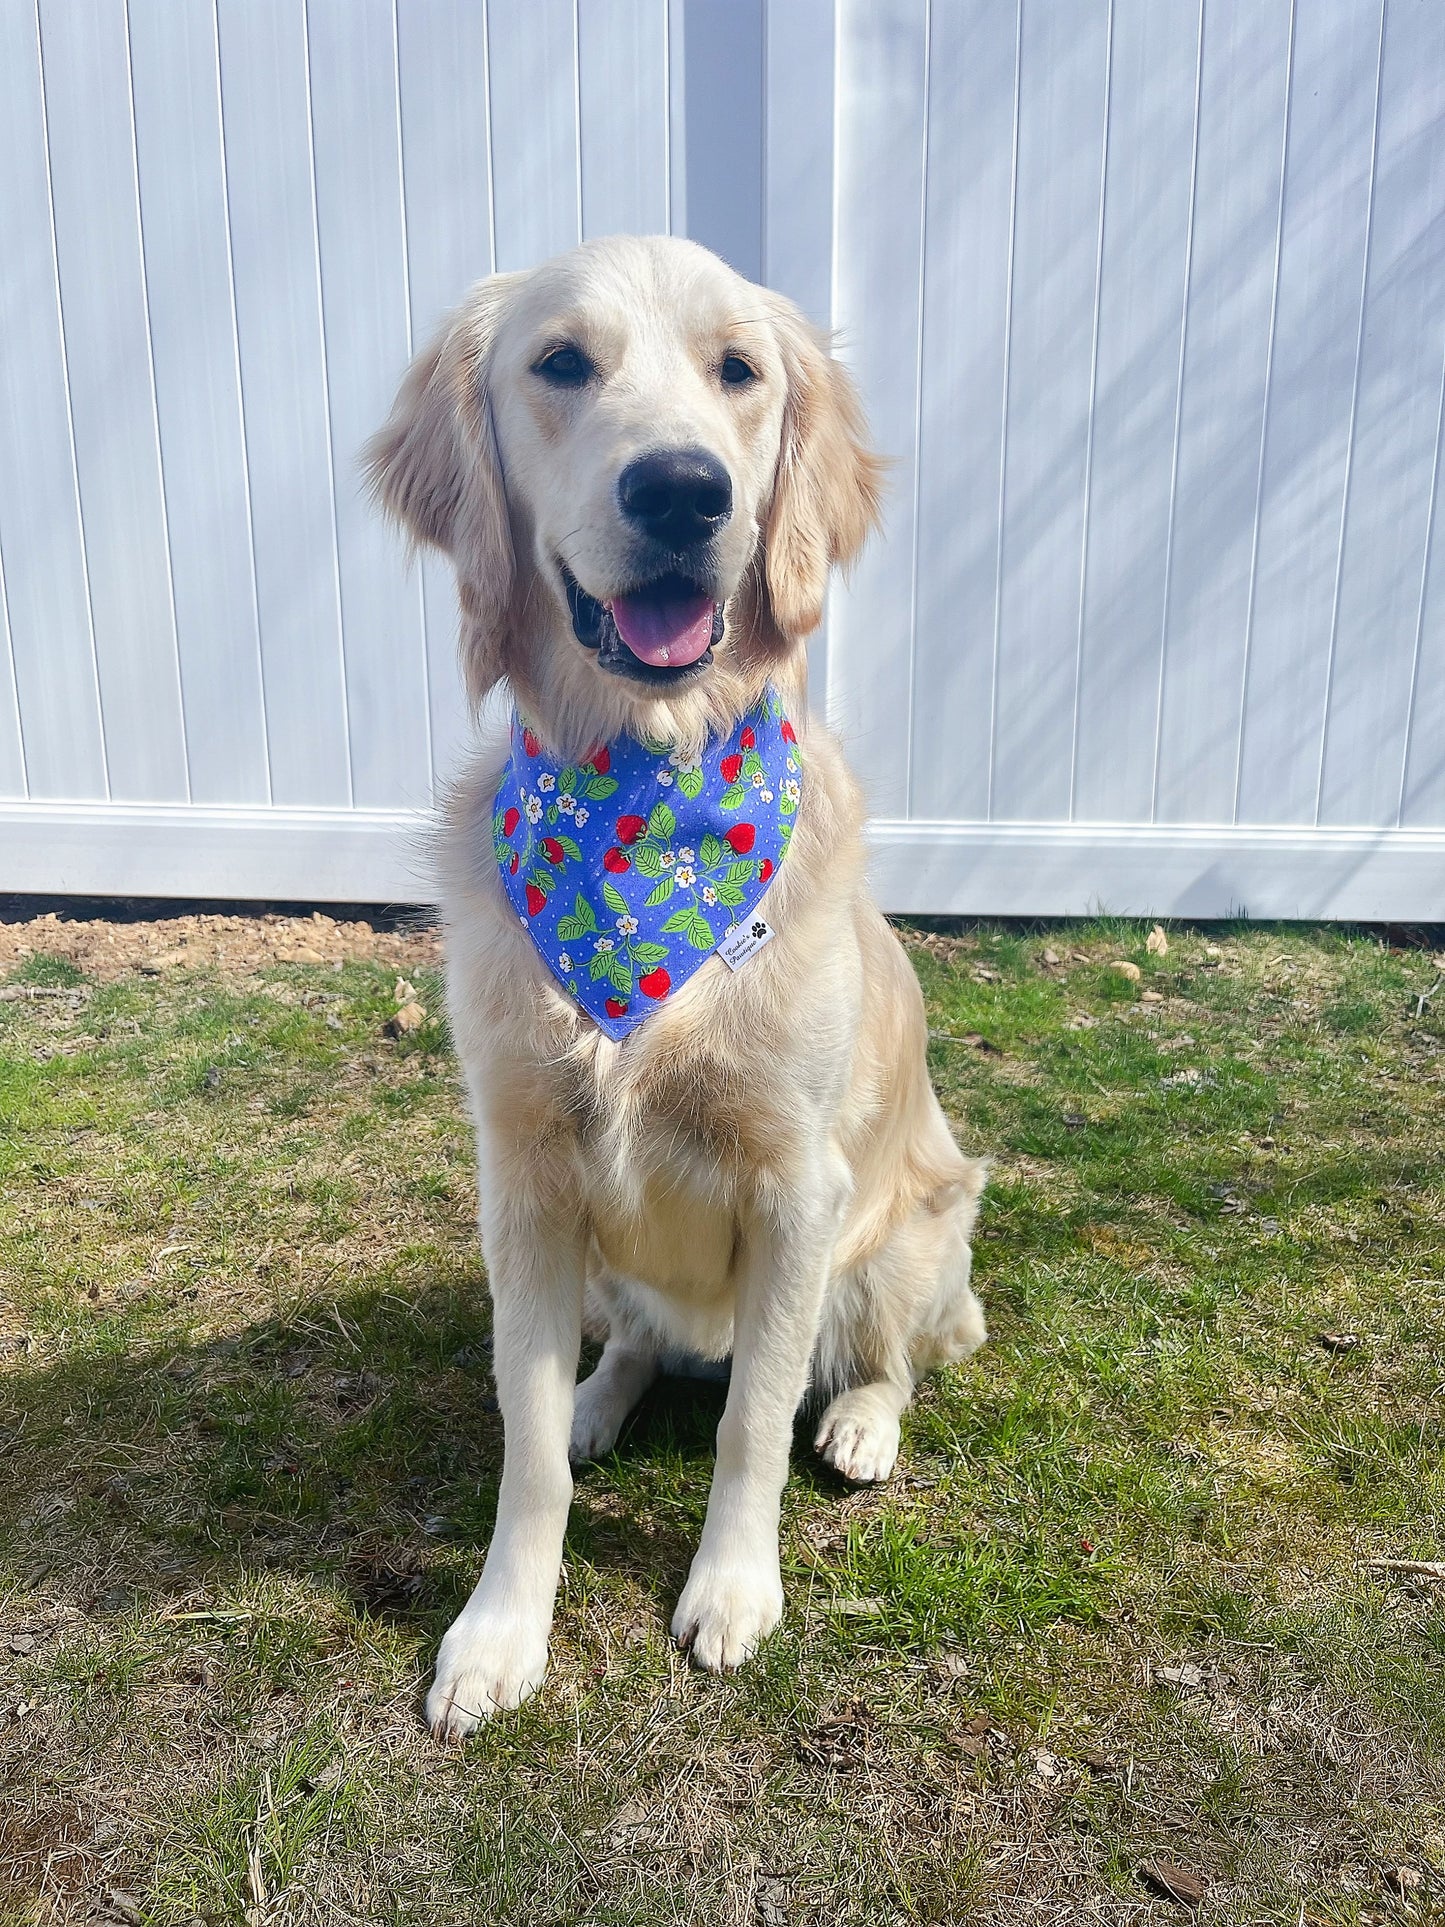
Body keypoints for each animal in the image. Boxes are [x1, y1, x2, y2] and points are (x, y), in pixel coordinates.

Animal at [367, 233, 994, 1742]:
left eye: (738, 371)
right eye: (560, 363)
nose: (680, 488)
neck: (643, 800)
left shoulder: (797, 1188)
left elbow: (751, 1419)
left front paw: (730, 1588)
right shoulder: (525, 1177)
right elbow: (525, 1442)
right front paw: (499, 1630)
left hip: (909, 1233)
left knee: (885, 1353)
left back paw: (863, 1420)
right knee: (641, 1350)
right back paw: (605, 1394)